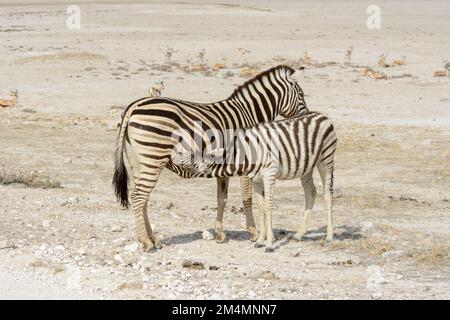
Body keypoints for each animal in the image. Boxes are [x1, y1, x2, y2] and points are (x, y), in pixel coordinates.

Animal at [114, 64, 308, 250]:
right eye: (301, 94)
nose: (306, 116)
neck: (249, 113)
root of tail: (133, 107)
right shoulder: (246, 162)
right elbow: (247, 198)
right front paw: (253, 233)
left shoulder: (224, 167)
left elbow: (221, 199)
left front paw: (220, 234)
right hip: (152, 158)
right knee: (138, 197)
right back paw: (146, 243)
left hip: (138, 163)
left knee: (143, 198)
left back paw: (153, 240)